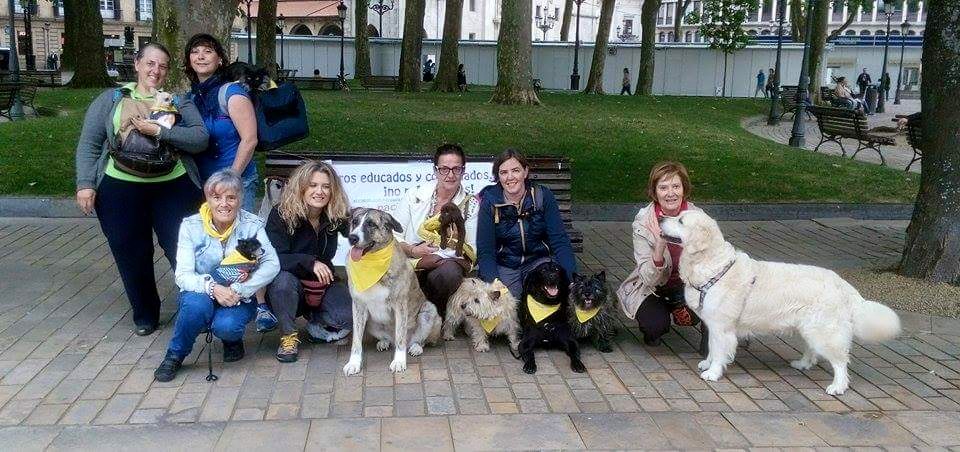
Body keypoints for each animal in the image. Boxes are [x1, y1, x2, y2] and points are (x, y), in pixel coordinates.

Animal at [342, 208, 442, 374]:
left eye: (371, 224)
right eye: (355, 222)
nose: (352, 238)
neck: (372, 264)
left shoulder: (400, 305)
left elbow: (400, 335)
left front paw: (399, 361)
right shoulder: (358, 306)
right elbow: (356, 340)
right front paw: (354, 363)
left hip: (429, 311)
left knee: (418, 341)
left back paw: (416, 347)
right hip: (370, 322)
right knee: (389, 339)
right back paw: (383, 342)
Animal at [660, 210, 900, 394]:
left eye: (681, 221)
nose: (661, 217)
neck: (711, 265)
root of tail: (842, 284)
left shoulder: (722, 327)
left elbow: (719, 351)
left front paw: (713, 372)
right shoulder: (713, 325)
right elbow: (711, 348)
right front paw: (707, 363)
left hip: (823, 332)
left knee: (841, 361)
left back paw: (838, 386)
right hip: (808, 328)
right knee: (812, 351)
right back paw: (802, 364)